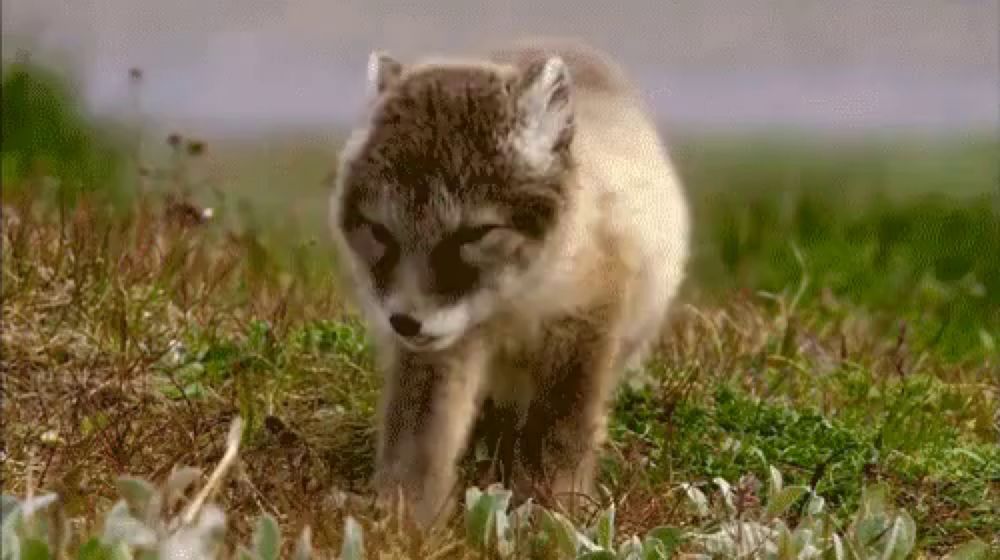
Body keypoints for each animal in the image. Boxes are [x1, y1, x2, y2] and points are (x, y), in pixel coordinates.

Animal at [328, 37, 688, 528]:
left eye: (474, 233)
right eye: (380, 231)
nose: (404, 322)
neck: (514, 304)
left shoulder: (584, 324)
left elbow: (560, 432)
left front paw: (551, 512)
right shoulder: (444, 346)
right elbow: (418, 434)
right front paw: (404, 517)